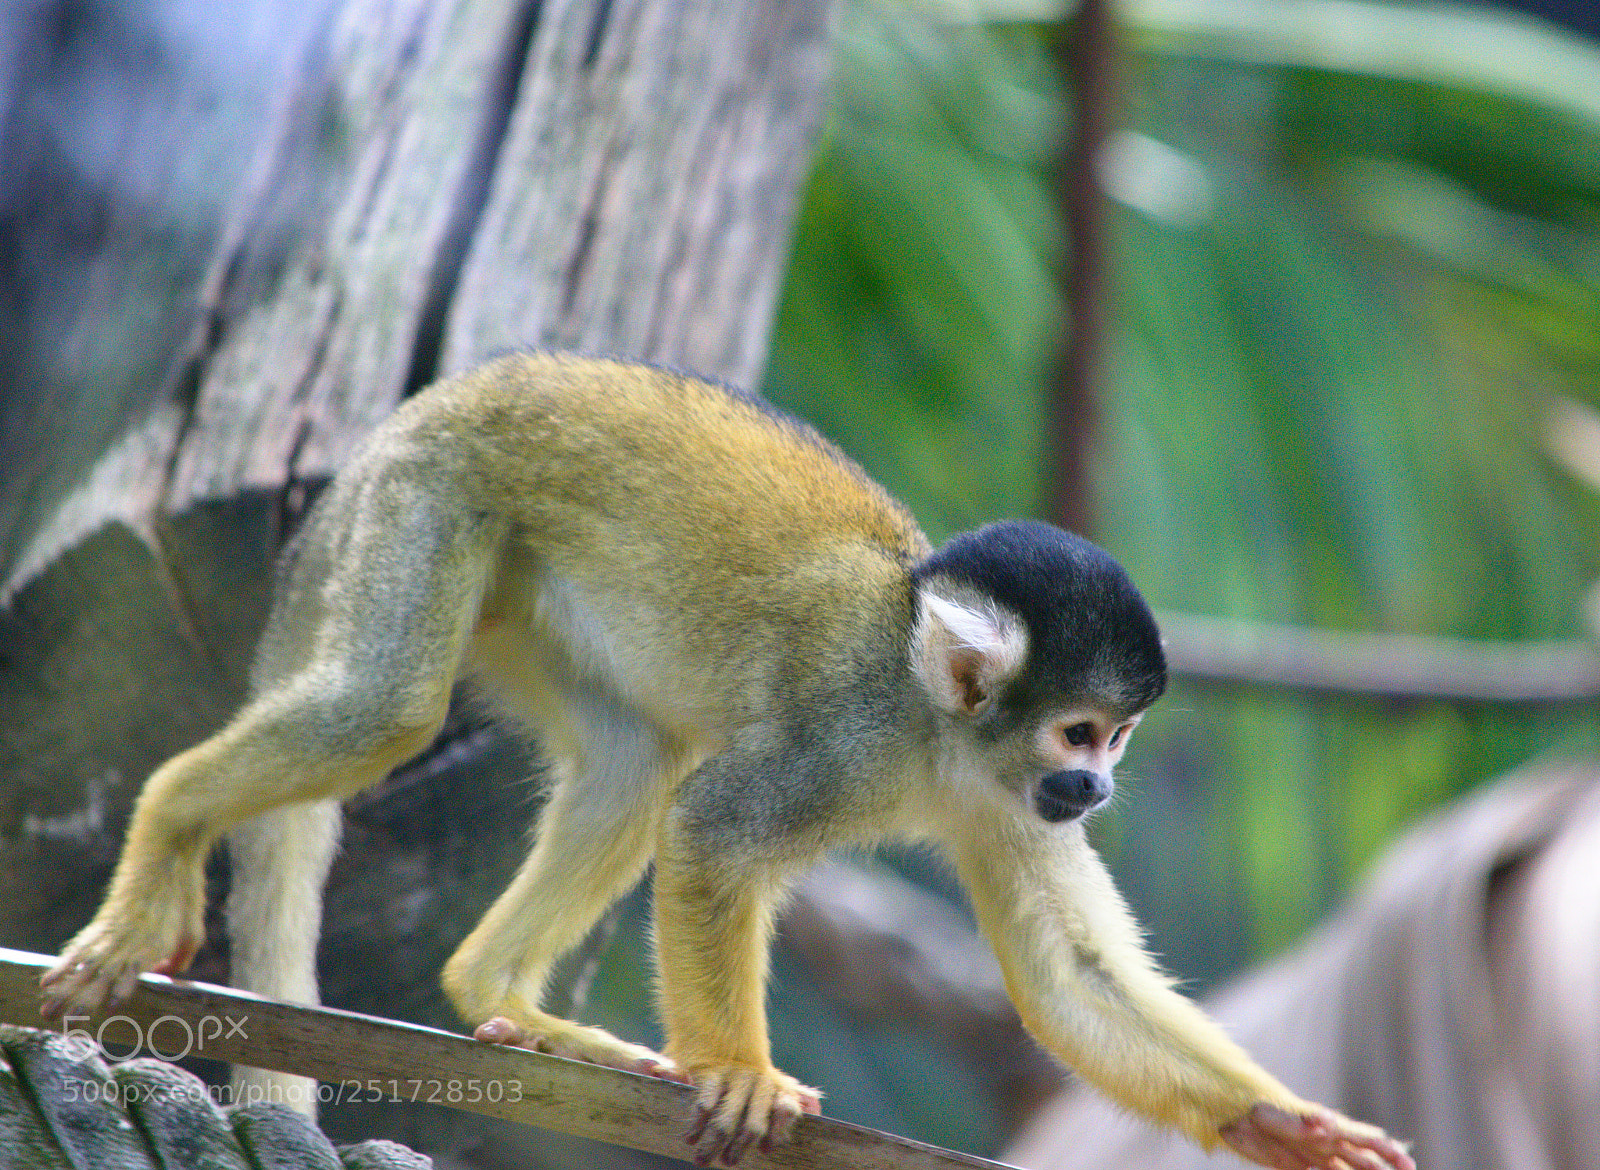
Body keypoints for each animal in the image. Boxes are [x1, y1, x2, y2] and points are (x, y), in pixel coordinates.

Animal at [41, 352, 1412, 1170]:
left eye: (1116, 739)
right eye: (1080, 732)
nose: (1100, 788)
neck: (934, 728)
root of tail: (425, 408)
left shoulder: (1008, 803)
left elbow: (1067, 975)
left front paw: (1282, 1121)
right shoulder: (846, 738)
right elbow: (708, 832)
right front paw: (738, 1075)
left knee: (628, 763)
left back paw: (503, 996)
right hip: (432, 502)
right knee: (391, 710)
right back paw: (166, 826)